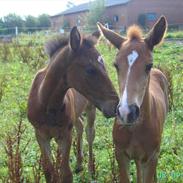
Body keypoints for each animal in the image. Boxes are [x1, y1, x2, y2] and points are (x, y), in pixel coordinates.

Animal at [27, 26, 118, 182]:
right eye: (90, 69)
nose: (115, 105)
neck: (46, 104)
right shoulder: (40, 135)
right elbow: (48, 171)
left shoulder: (65, 134)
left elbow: (66, 173)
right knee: (80, 125)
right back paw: (80, 163)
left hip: (91, 109)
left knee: (89, 133)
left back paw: (90, 168)